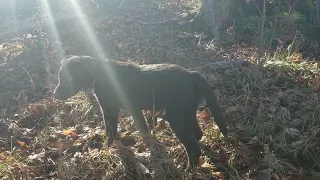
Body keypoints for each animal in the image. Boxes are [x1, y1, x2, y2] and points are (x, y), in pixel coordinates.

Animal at [53, 55, 228, 169]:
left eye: (67, 78)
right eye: (59, 76)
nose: (54, 95)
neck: (97, 74)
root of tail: (193, 74)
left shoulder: (113, 109)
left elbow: (114, 129)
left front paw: (107, 148)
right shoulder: (121, 110)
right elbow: (126, 130)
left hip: (177, 118)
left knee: (193, 147)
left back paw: (188, 170)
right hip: (186, 112)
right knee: (198, 135)